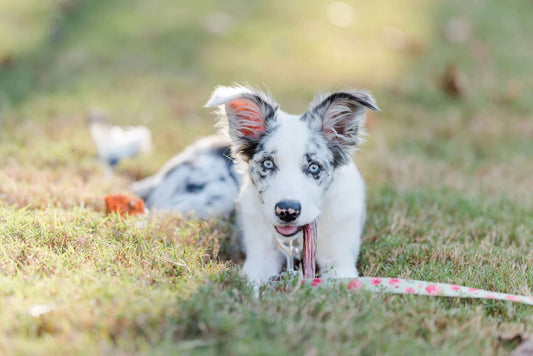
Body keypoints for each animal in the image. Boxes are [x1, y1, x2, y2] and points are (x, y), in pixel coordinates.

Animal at [133, 85, 376, 282]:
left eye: (314, 167)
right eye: (267, 163)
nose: (287, 211)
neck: (294, 243)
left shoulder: (340, 259)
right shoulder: (260, 257)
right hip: (214, 197)